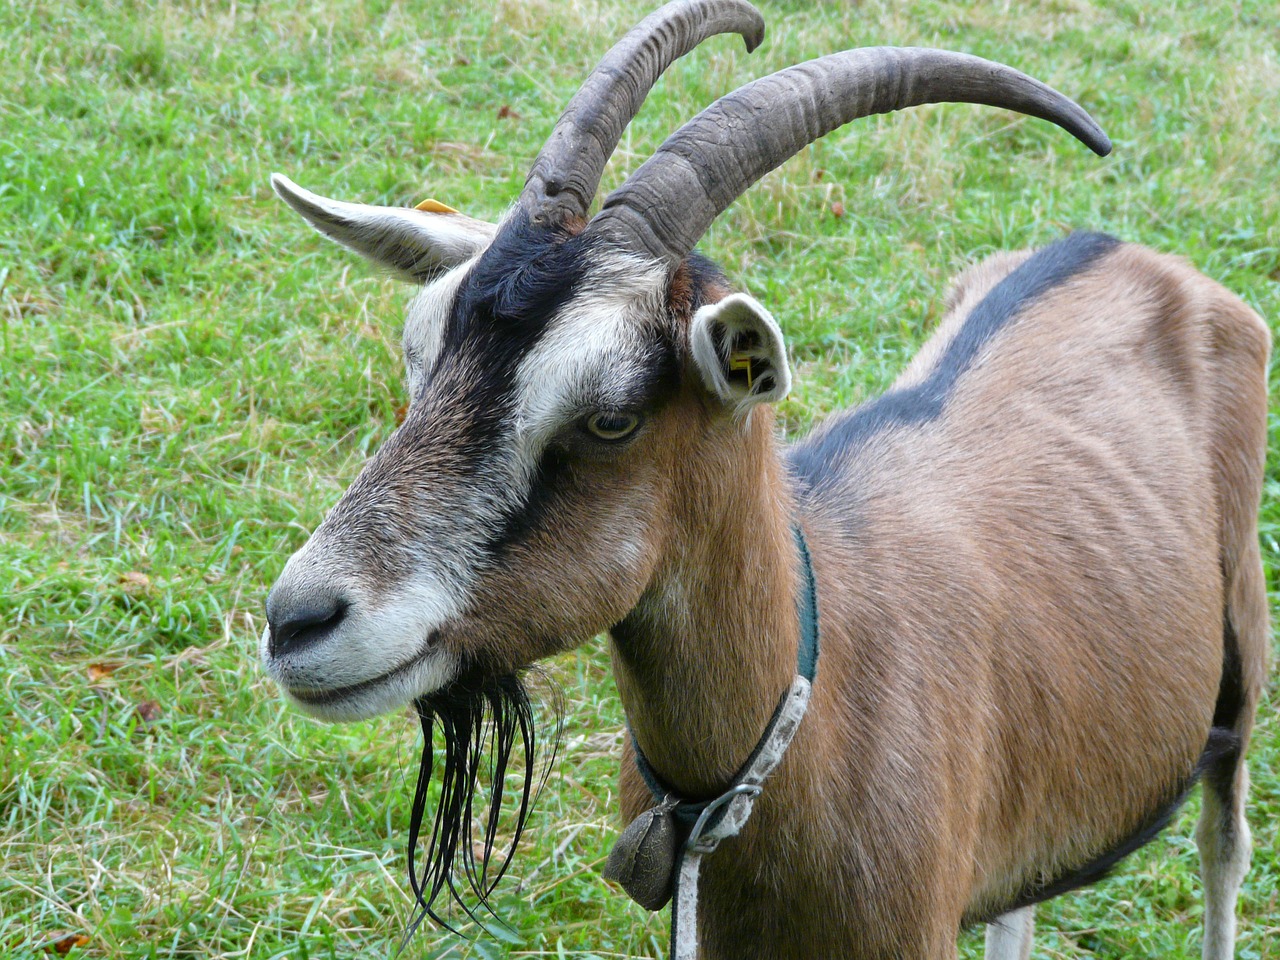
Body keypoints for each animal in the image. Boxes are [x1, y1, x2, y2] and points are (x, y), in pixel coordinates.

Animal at [257, 1, 1269, 960]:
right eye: (420, 354)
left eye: (612, 416)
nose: (298, 621)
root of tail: (1128, 253)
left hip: (1241, 658)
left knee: (1226, 840)